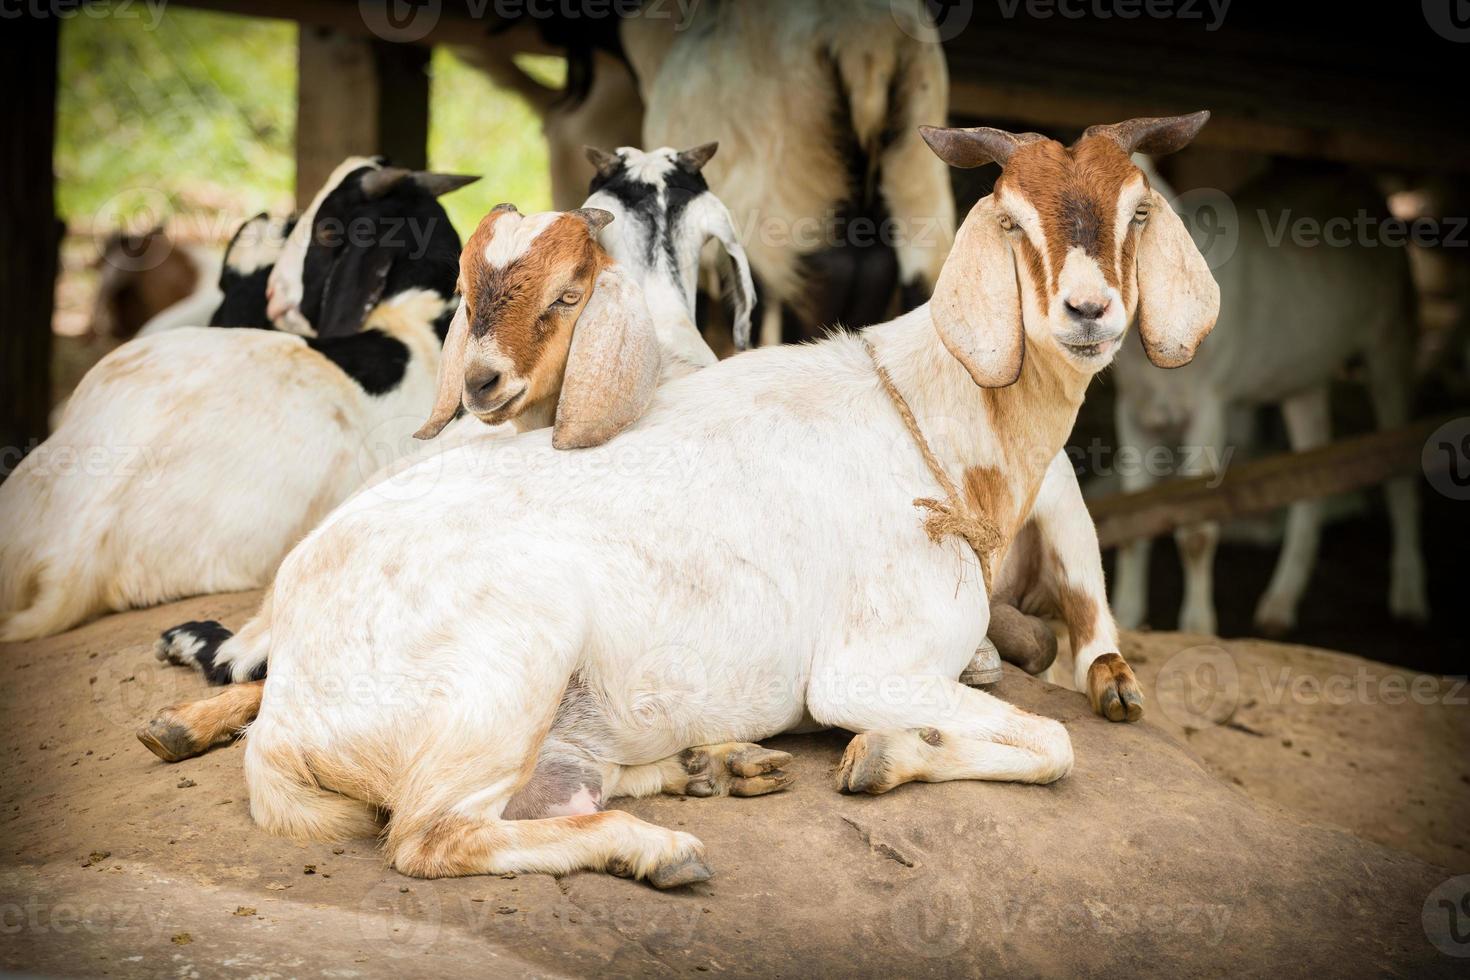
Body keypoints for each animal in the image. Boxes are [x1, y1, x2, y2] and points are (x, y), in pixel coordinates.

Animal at [238, 115, 1217, 887]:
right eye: (1012, 218)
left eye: (1136, 210)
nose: (1087, 312)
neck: (929, 419)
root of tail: (281, 717)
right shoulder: (866, 668)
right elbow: (1055, 748)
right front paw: (884, 755)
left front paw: (885, 753)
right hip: (506, 674)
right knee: (435, 835)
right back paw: (657, 847)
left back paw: (714, 766)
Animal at [1111, 159, 1422, 637]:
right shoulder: (1132, 409)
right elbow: (1130, 523)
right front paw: (1123, 619)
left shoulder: (1210, 406)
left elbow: (1196, 528)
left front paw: (1196, 629)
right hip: (1302, 377)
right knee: (1313, 475)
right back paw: (1279, 604)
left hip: (1390, 340)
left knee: (1397, 466)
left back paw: (1408, 596)